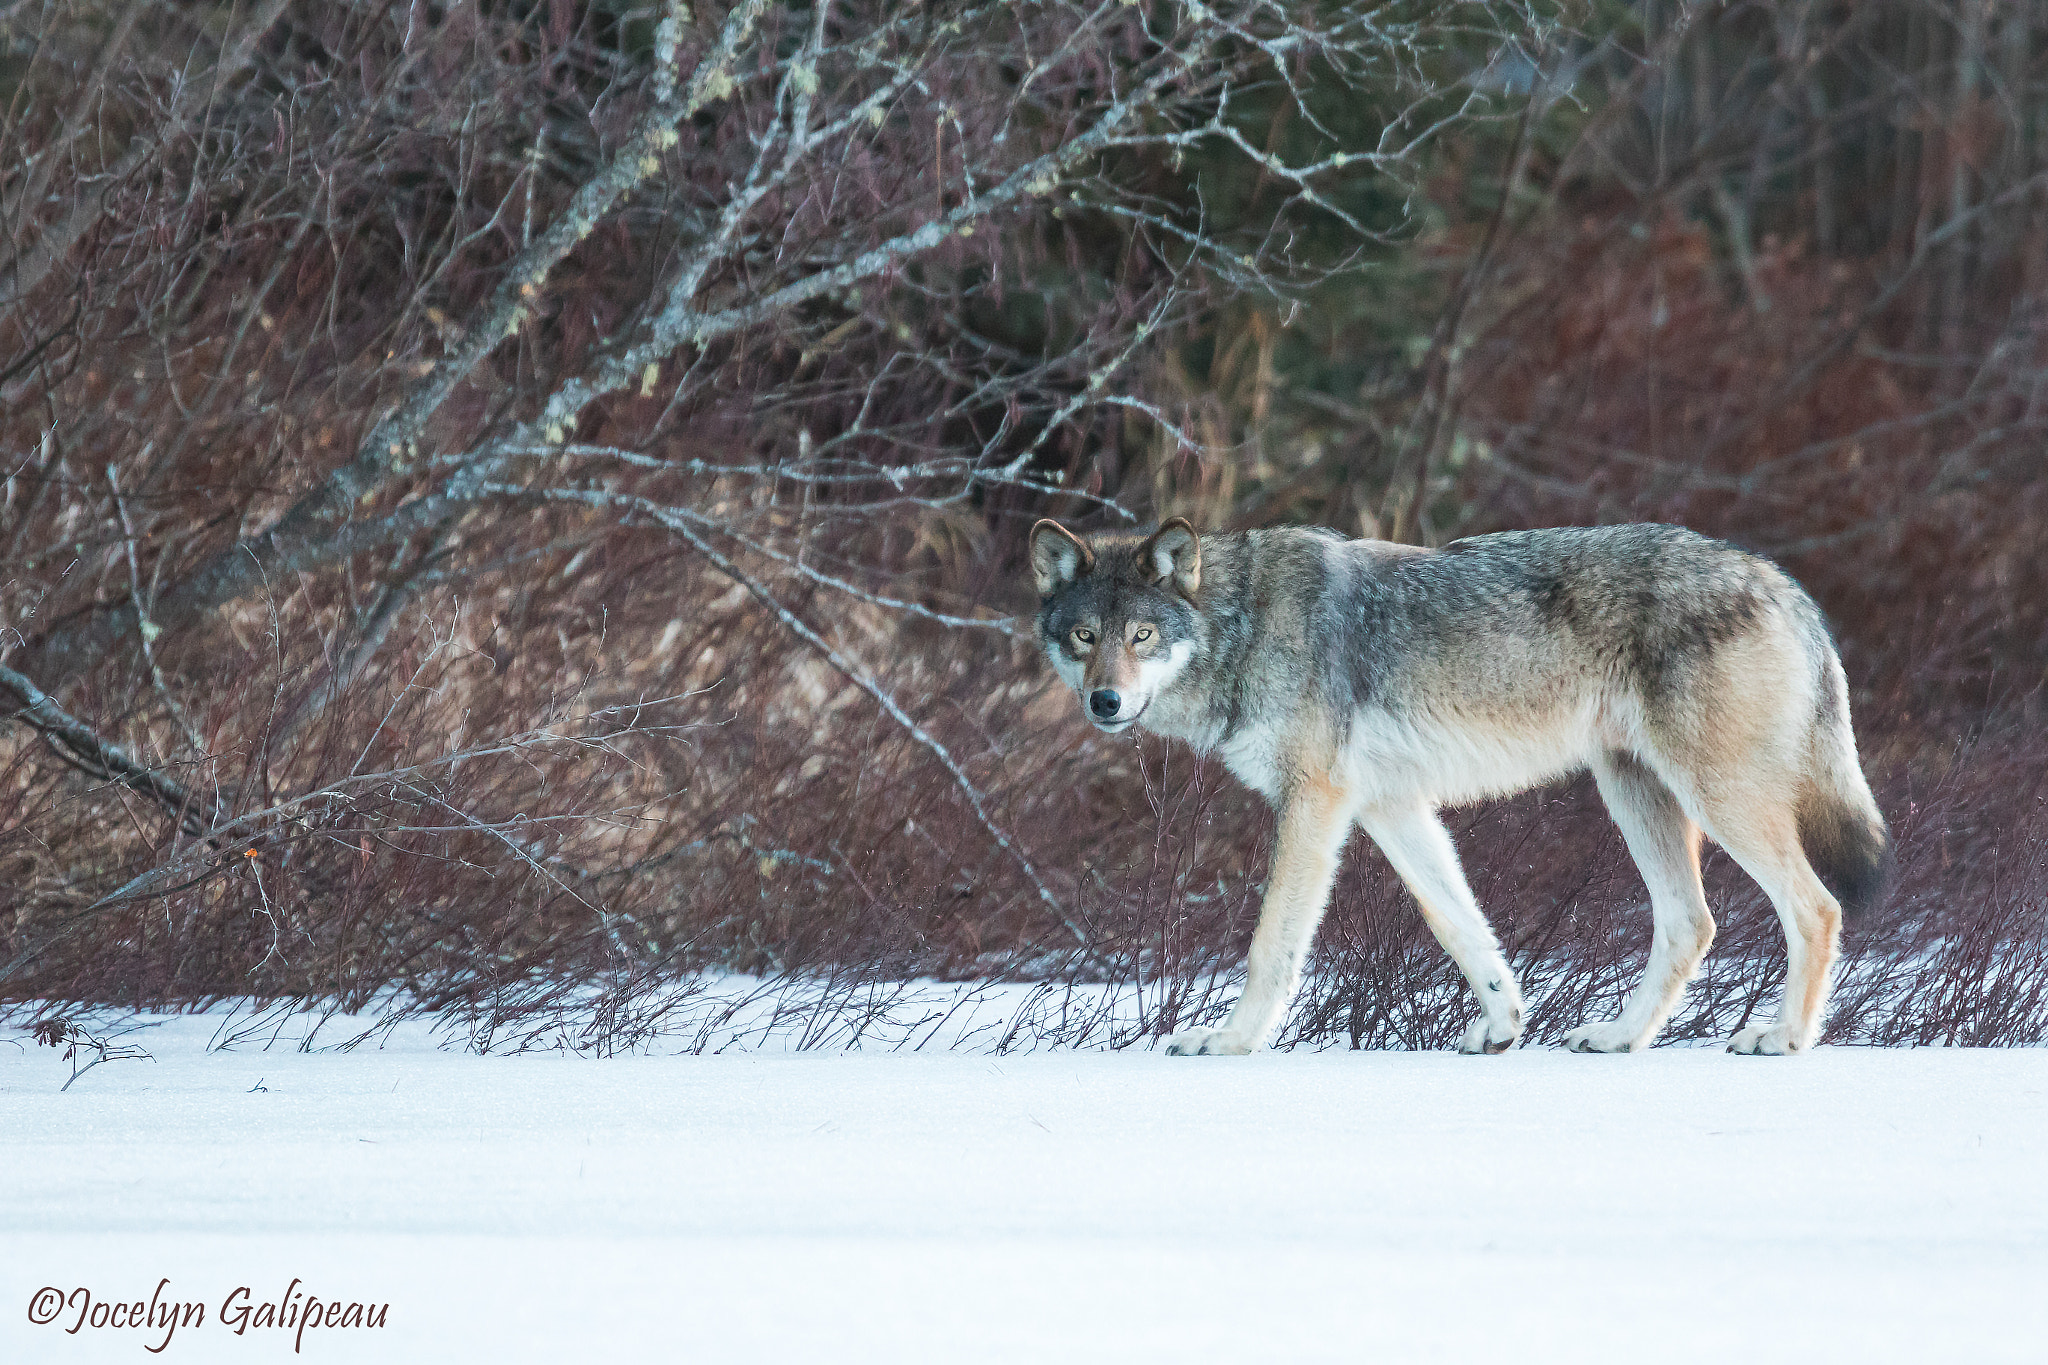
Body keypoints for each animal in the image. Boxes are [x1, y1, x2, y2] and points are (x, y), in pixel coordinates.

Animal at [1029, 518, 1889, 1056]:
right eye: (1085, 636)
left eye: (1142, 635)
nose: (1104, 702)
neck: (1243, 624)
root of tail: (1782, 581)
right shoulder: (1390, 805)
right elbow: (1459, 925)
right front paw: (1504, 1023)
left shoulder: (1315, 803)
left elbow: (1273, 941)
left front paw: (1231, 1039)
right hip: (1635, 797)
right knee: (1692, 923)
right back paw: (1617, 1036)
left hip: (1717, 797)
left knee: (1816, 907)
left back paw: (1782, 1037)